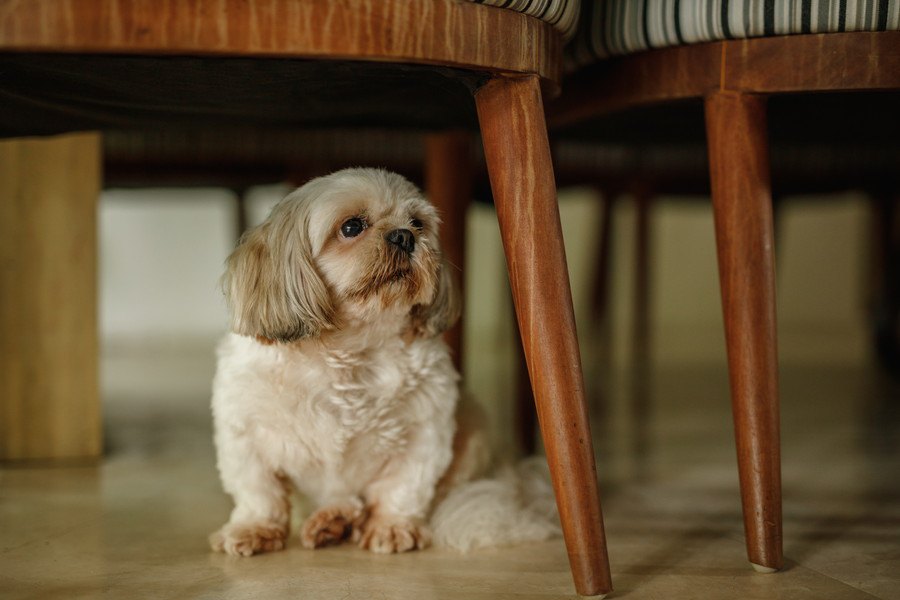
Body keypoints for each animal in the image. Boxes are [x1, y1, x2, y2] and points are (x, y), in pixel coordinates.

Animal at [212, 165, 560, 556]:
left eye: (418, 223)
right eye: (351, 226)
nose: (404, 236)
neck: (351, 351)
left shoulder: (425, 432)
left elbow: (403, 487)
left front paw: (392, 526)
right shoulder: (245, 433)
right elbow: (259, 492)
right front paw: (255, 528)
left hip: (473, 435)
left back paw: (339, 519)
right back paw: (334, 520)